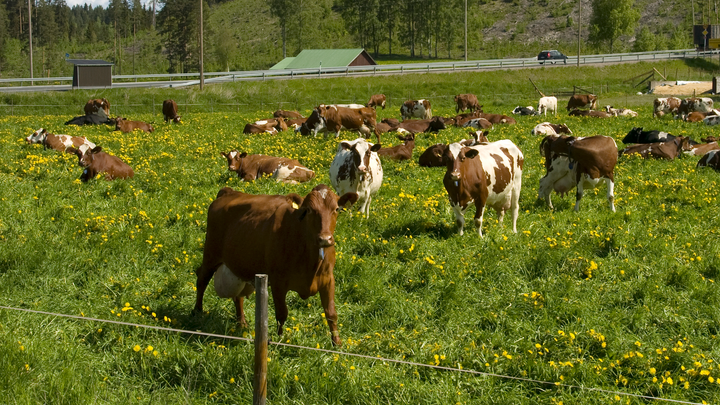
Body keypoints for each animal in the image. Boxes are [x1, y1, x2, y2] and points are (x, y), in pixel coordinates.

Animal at [193, 183, 358, 344]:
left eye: (336, 209)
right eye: (309, 210)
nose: (325, 239)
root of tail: (229, 191)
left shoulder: (328, 279)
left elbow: (331, 313)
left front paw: (337, 343)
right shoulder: (278, 281)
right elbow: (281, 313)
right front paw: (280, 340)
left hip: (238, 264)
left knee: (237, 296)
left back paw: (242, 322)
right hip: (211, 254)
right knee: (201, 279)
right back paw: (197, 312)